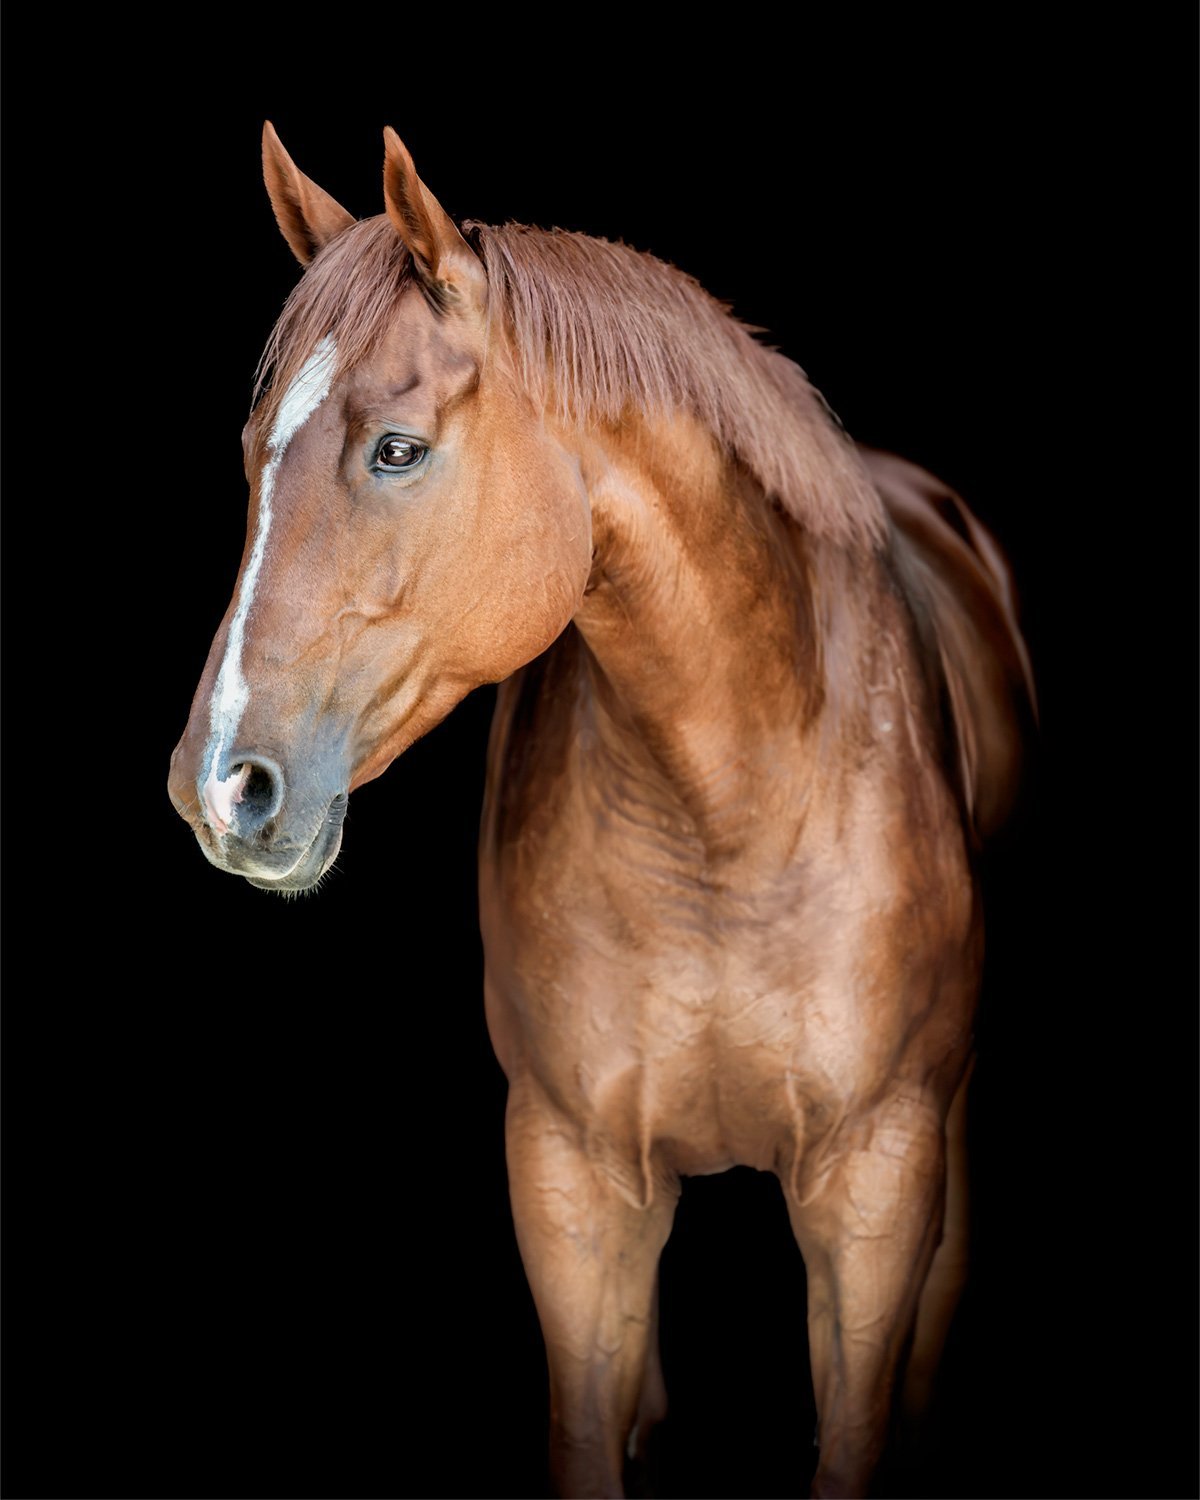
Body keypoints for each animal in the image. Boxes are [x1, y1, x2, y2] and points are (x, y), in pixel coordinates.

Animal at [164, 123, 1038, 1494]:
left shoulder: (878, 1185)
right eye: (253, 450)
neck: (726, 819)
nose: (219, 788)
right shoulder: (569, 1178)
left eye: (397, 448)